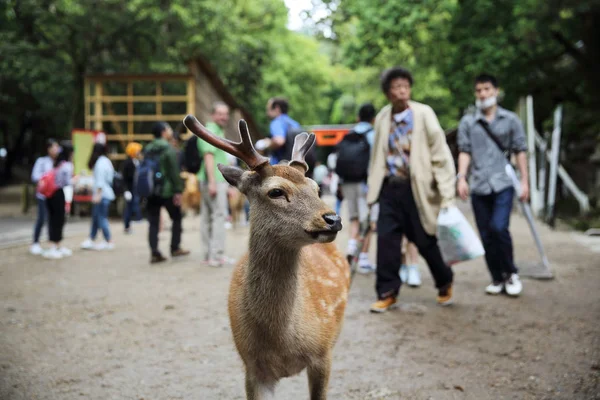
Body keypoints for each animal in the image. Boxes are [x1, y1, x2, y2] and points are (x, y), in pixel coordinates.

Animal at [184, 115, 352, 400]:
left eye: (316, 188)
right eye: (276, 191)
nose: (333, 219)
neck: (281, 341)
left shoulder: (323, 352)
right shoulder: (253, 368)